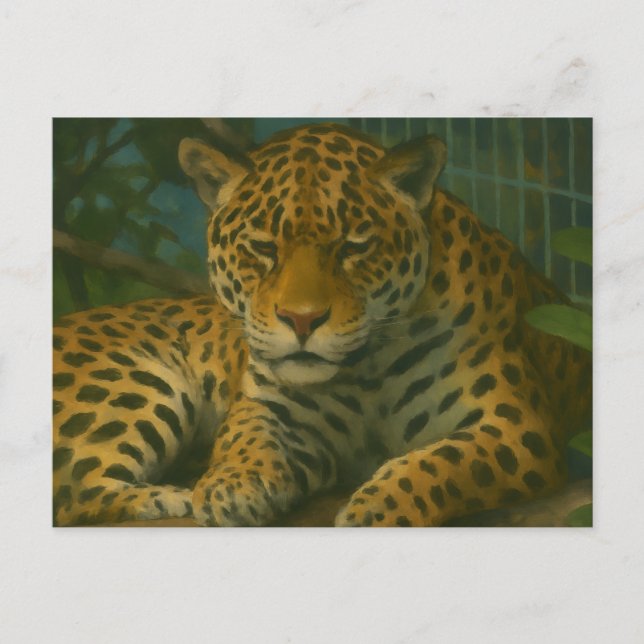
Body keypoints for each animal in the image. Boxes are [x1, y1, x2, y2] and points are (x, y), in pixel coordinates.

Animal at [53, 123, 592, 527]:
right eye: (263, 247)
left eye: (354, 246)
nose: (302, 319)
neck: (368, 368)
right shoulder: (270, 406)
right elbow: (245, 435)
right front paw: (232, 485)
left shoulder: (516, 424)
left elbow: (443, 462)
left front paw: (378, 507)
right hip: (136, 383)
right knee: (77, 491)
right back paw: (169, 496)